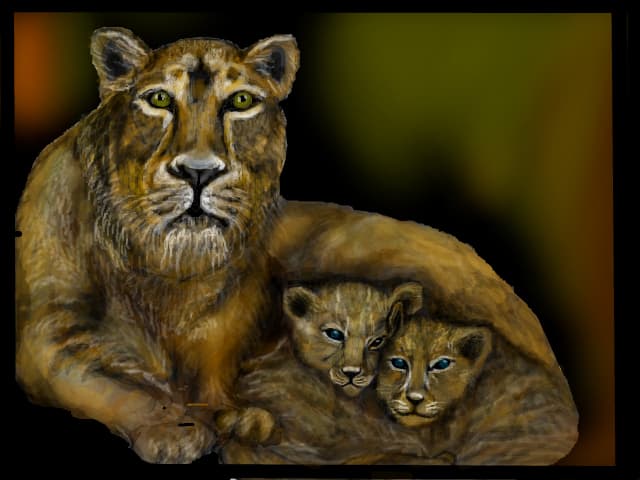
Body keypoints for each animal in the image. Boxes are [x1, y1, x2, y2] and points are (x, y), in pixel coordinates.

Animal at [15, 27, 299, 463]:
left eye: (241, 102)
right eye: (160, 99)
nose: (198, 172)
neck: (172, 268)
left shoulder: (234, 310)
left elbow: (214, 368)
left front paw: (234, 414)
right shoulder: (48, 334)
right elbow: (113, 383)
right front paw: (175, 429)